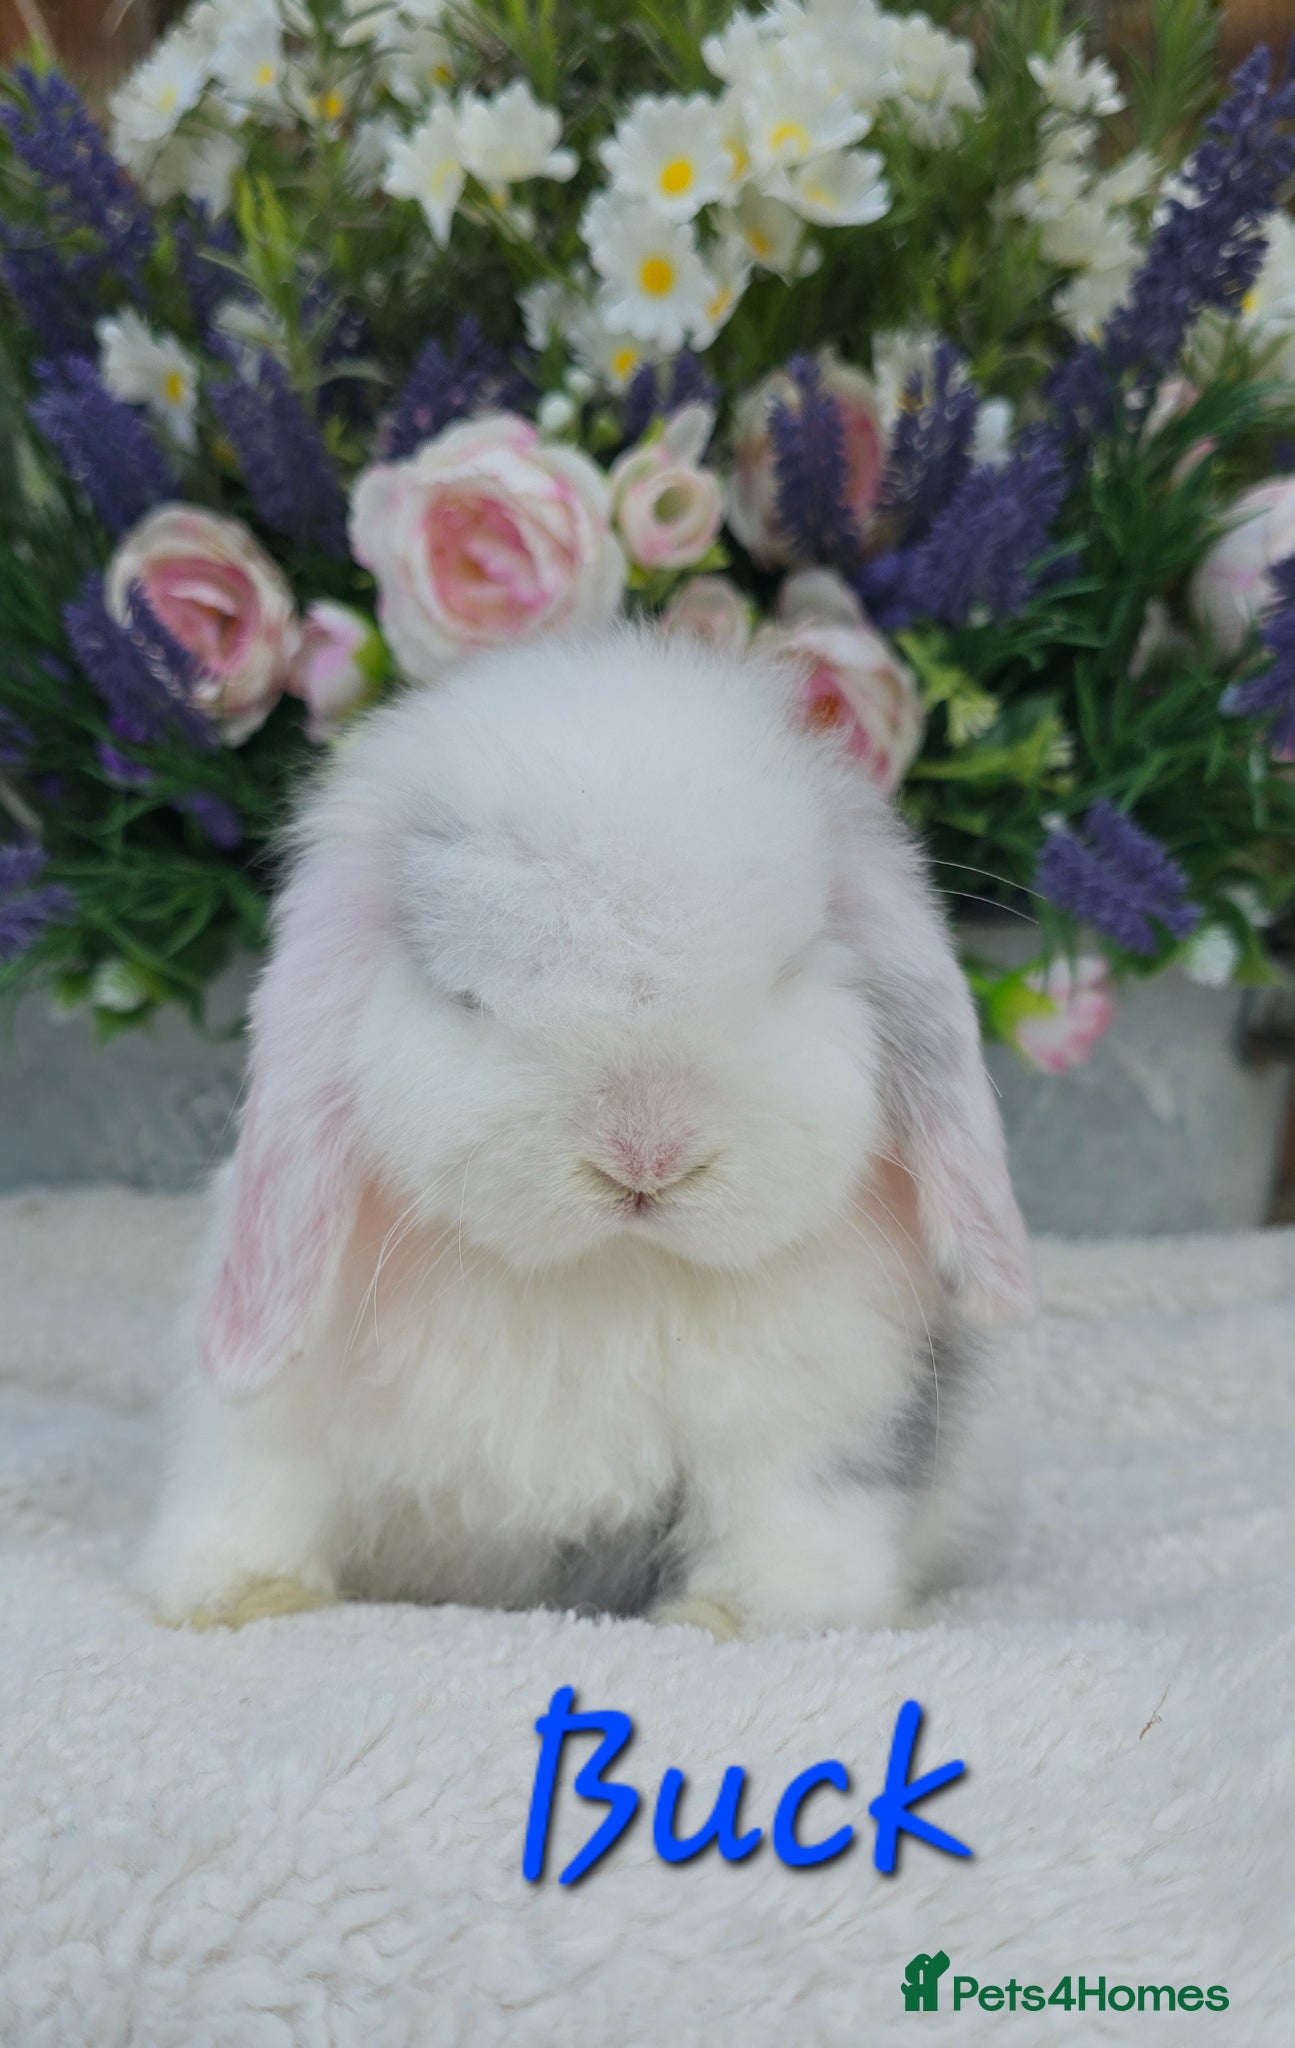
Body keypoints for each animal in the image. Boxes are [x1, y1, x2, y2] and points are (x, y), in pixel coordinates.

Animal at [139, 624, 1034, 1638]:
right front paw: (235, 1597)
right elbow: (258, 1485)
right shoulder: (279, 1411)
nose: (645, 1160)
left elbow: (790, 1522)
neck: (609, 1273)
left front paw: (729, 1617)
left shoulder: (814, 1419)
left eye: (790, 970)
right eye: (464, 996)